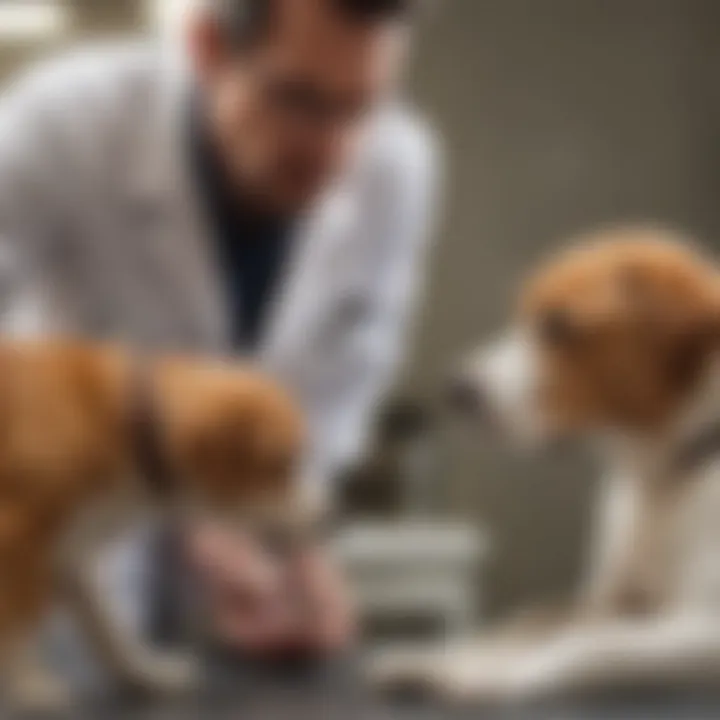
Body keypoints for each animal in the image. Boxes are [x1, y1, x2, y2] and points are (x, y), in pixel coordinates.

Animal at [0, 338, 302, 708]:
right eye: (283, 467)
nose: (328, 511)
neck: (124, 426)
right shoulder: (17, 537)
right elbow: (12, 623)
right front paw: (28, 686)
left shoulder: (69, 550)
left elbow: (106, 624)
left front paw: (143, 674)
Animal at [372, 229, 720, 704]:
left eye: (558, 325)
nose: (456, 388)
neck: (661, 484)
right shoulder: (604, 603)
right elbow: (522, 625)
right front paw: (444, 659)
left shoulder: (703, 627)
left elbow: (590, 646)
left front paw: (483, 677)